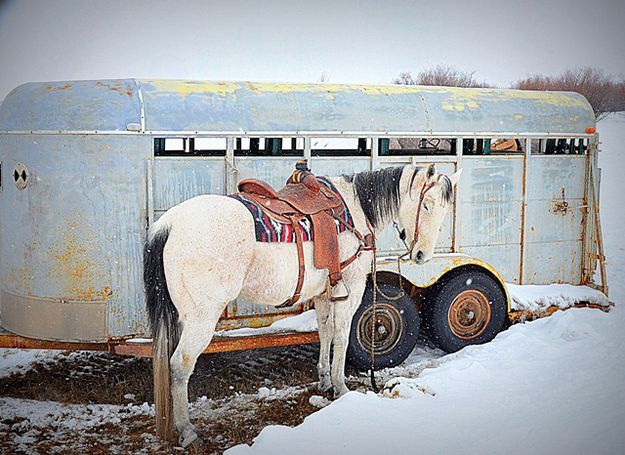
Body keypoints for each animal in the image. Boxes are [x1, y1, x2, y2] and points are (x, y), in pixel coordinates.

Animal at [144, 162, 460, 448]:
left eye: (446, 211)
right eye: (428, 205)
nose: (422, 255)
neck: (356, 209)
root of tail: (167, 224)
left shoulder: (323, 294)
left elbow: (325, 332)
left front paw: (324, 381)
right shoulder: (351, 289)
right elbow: (342, 336)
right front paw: (341, 387)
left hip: (179, 318)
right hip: (201, 317)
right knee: (180, 365)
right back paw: (188, 431)